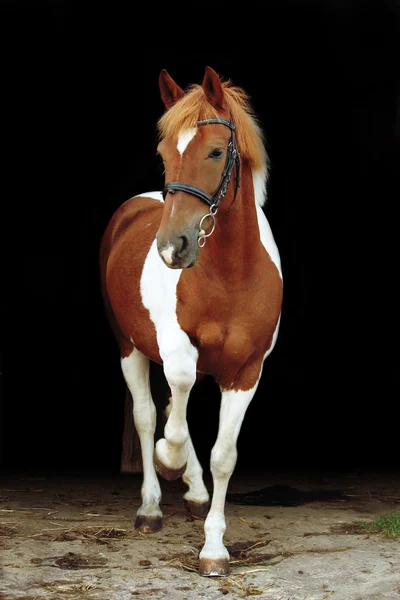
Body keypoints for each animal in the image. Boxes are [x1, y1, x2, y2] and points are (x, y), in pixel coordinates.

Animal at [98, 67, 282, 576]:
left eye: (216, 151)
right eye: (164, 153)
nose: (171, 248)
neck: (232, 275)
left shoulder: (247, 371)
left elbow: (223, 456)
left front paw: (214, 549)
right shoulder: (176, 349)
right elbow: (171, 419)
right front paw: (169, 458)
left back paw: (196, 492)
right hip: (129, 347)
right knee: (148, 416)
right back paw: (151, 504)